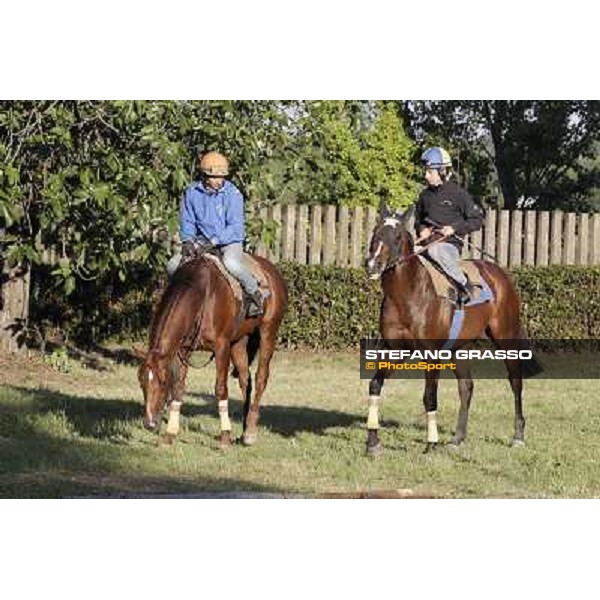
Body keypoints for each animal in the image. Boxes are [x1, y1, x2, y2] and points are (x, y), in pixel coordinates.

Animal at [136, 252, 288, 446]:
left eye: (162, 382)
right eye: (141, 382)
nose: (149, 423)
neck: (201, 295)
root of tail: (271, 271)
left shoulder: (221, 346)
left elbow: (221, 388)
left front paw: (225, 437)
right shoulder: (182, 350)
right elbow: (178, 387)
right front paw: (170, 435)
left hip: (268, 332)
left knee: (261, 377)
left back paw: (250, 432)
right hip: (238, 341)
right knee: (245, 380)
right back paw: (244, 428)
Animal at [364, 206, 540, 454]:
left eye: (397, 236)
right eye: (376, 232)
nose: (373, 265)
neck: (408, 295)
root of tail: (500, 273)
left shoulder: (431, 354)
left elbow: (430, 396)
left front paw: (431, 444)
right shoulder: (394, 349)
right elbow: (375, 385)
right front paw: (372, 442)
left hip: (506, 337)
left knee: (516, 381)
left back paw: (518, 435)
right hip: (460, 348)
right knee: (466, 387)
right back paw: (457, 438)